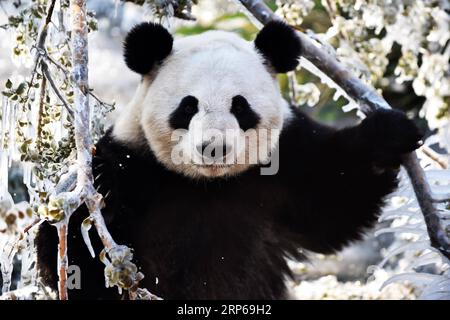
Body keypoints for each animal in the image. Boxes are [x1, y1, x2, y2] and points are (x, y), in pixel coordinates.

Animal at [37, 21, 424, 298]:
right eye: (188, 106)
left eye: (240, 106)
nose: (214, 147)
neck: (209, 185)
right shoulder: (136, 161)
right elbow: (71, 256)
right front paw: (98, 194)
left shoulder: (288, 161)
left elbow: (337, 197)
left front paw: (390, 135)